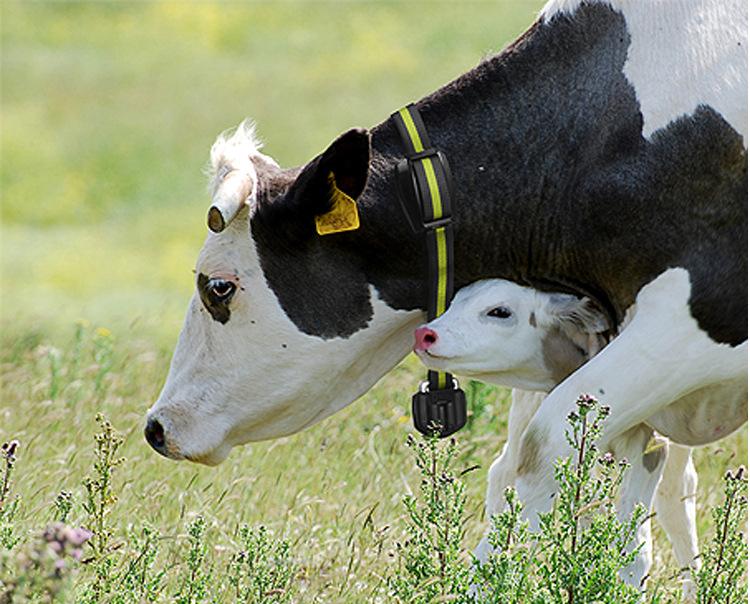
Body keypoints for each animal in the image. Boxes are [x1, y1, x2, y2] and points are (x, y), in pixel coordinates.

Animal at [414, 278, 701, 595]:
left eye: (499, 311)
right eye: (453, 301)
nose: (426, 334)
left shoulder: (647, 439)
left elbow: (632, 542)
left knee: (677, 490)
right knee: (506, 471)